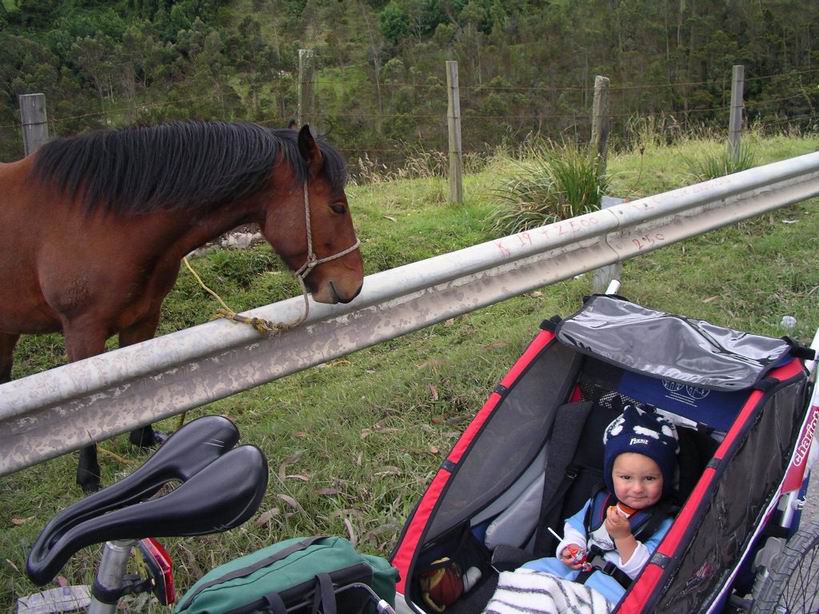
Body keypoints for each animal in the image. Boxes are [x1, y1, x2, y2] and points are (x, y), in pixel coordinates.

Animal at [0, 121, 364, 493]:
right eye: (337, 207)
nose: (354, 284)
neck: (104, 220)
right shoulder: (82, 330)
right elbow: (82, 412)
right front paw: (89, 478)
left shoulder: (143, 317)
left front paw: (144, 439)